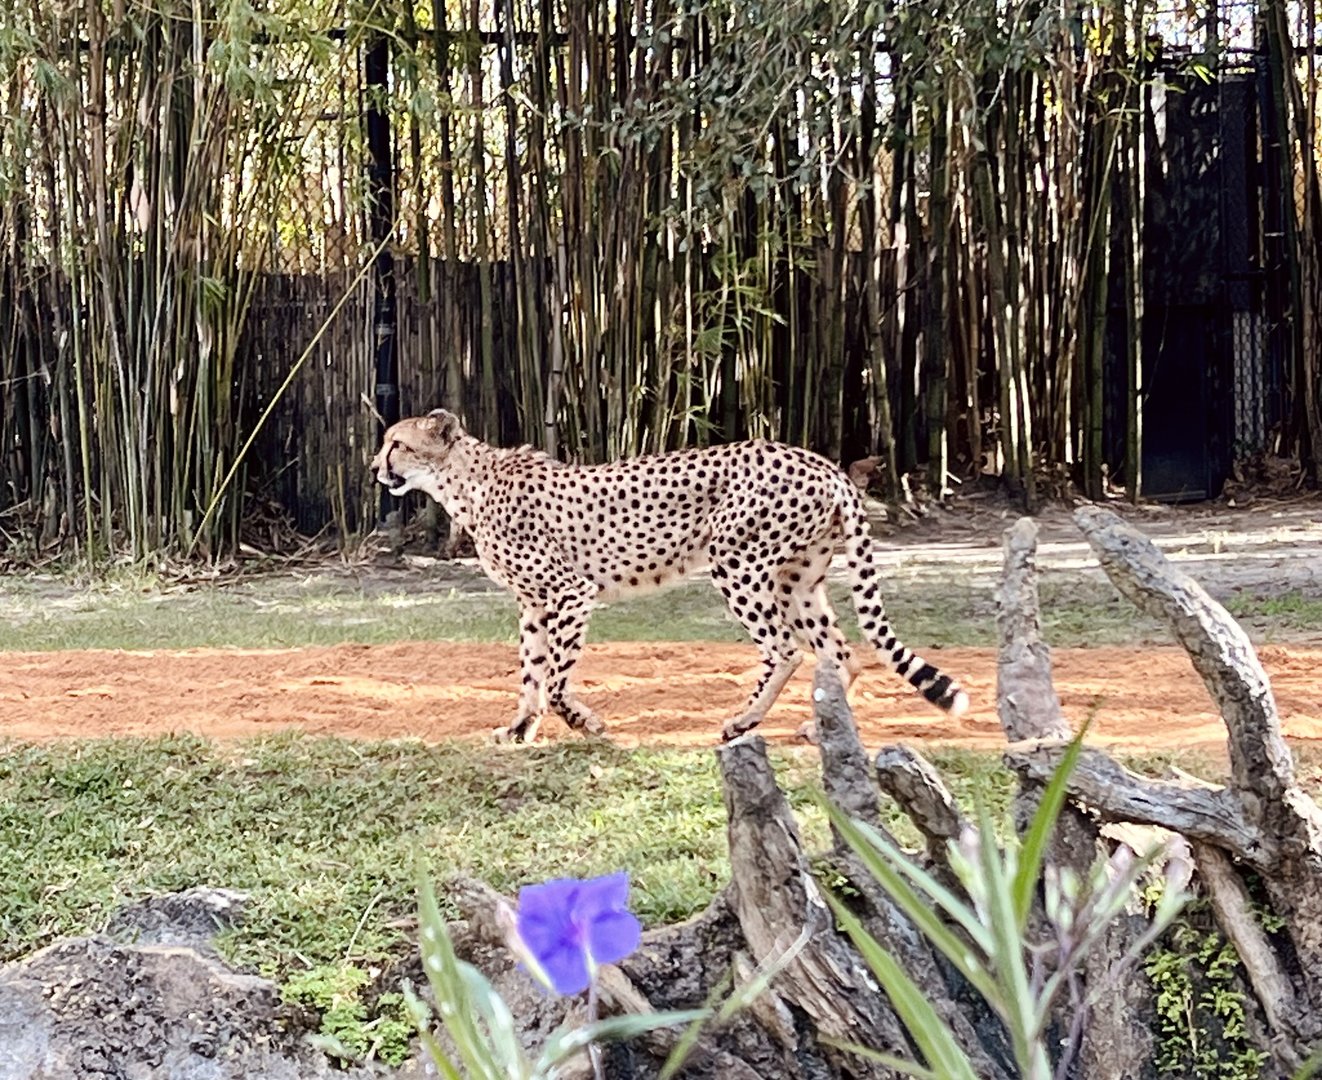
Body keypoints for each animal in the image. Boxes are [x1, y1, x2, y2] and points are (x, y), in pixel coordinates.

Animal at [371, 409, 969, 743]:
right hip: (796, 579)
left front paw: (583, 723)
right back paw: (819, 724)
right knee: (838, 650)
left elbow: (556, 678)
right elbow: (531, 675)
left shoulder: (571, 593)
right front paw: (520, 729)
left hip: (739, 564)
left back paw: (744, 721)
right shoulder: (535, 605)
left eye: (397, 443)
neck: (463, 484)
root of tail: (820, 461)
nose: (375, 468)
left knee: (785, 649)